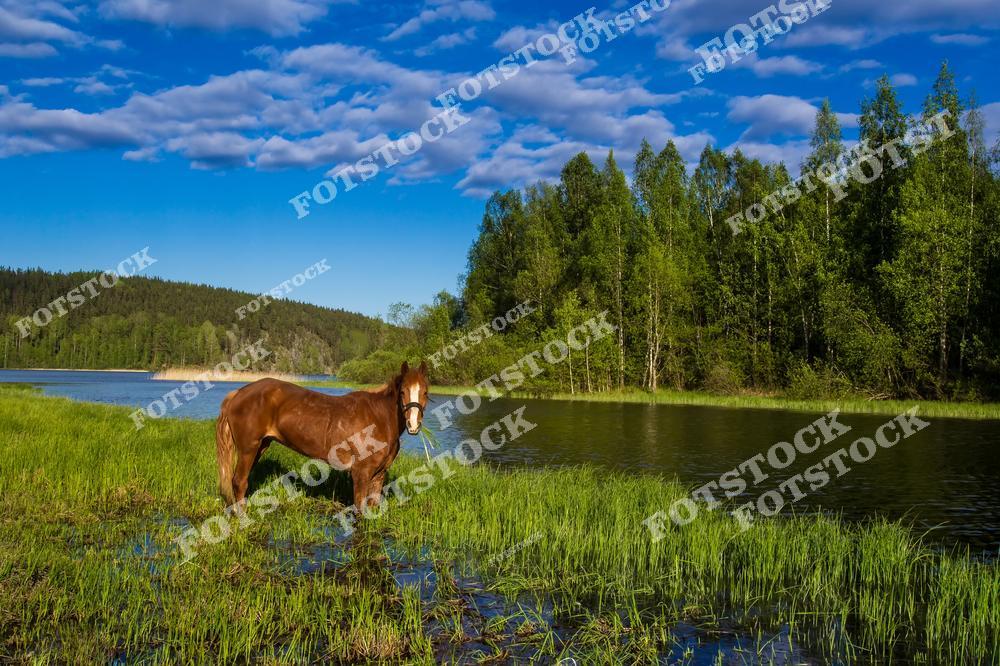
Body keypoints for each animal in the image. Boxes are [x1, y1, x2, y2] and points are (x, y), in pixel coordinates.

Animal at [215, 361, 429, 511]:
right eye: (402, 392)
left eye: (426, 392)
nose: (413, 424)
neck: (378, 419)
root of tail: (238, 393)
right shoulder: (361, 473)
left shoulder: (379, 474)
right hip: (248, 449)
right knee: (239, 481)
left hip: (260, 446)